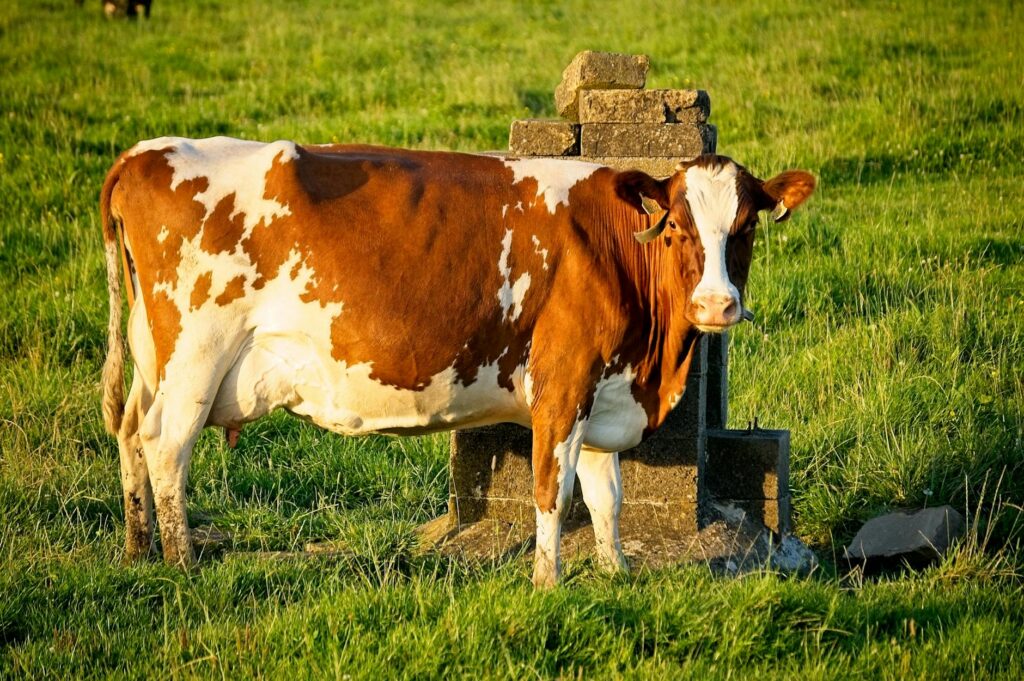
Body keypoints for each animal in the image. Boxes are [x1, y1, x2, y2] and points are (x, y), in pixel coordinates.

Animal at [100, 137, 815, 586]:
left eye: (746, 227)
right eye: (676, 228)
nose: (718, 305)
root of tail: (146, 152)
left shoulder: (600, 385)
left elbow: (605, 496)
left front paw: (616, 574)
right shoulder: (562, 379)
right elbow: (554, 492)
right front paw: (548, 582)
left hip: (152, 355)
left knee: (130, 431)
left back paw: (138, 550)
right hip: (195, 353)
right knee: (166, 444)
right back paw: (181, 561)